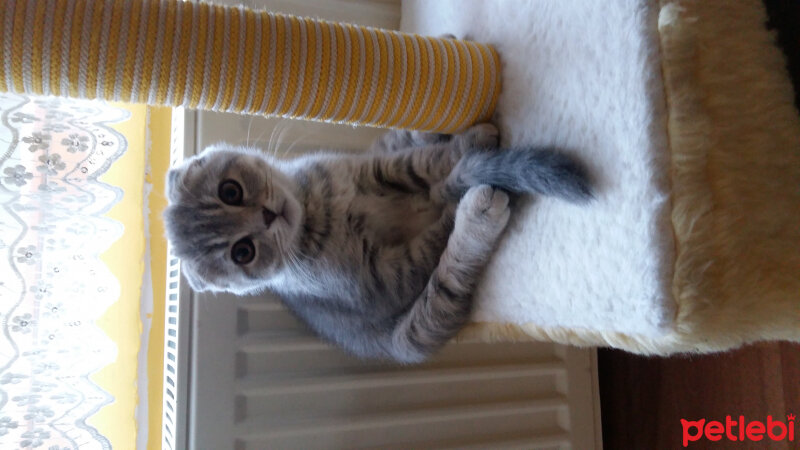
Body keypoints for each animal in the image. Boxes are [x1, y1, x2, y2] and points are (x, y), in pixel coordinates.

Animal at [164, 123, 588, 362]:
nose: (267, 216)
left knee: (397, 142)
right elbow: (431, 239)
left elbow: (417, 160)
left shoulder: (369, 170)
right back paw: (477, 213)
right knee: (446, 283)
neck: (315, 209)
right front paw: (455, 195)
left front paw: (465, 145)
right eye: (242, 253)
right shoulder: (380, 280)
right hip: (411, 337)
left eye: (230, 191)